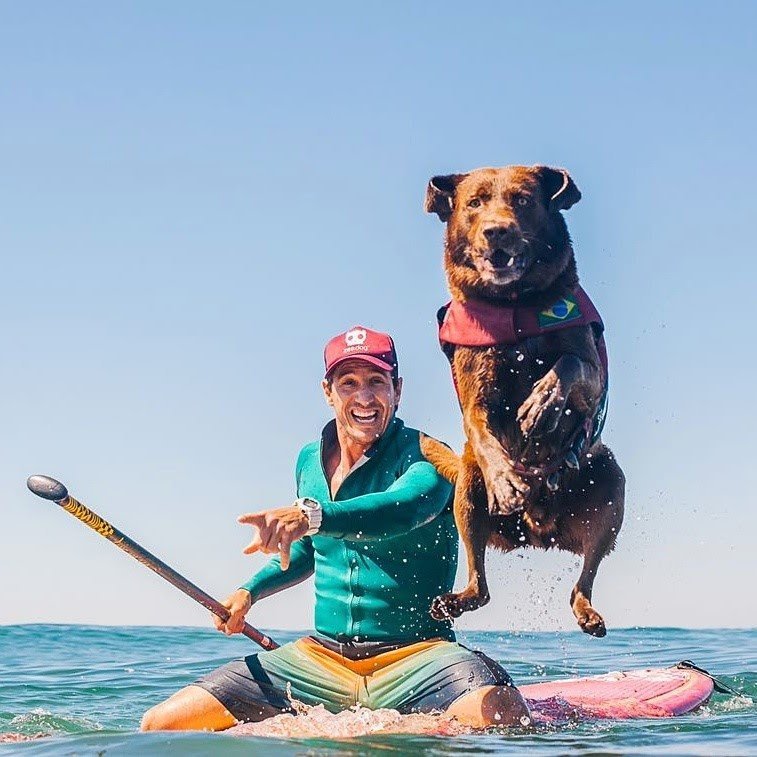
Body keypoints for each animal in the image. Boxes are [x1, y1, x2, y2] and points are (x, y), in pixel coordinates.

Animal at [416, 167, 624, 636]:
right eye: (474, 203)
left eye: (524, 201)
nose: (497, 231)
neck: (514, 306)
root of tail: (538, 531)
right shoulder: (475, 394)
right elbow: (482, 430)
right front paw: (507, 480)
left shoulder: (591, 372)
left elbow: (570, 364)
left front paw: (541, 403)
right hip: (467, 491)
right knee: (480, 586)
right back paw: (454, 599)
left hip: (610, 485)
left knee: (583, 578)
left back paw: (588, 612)